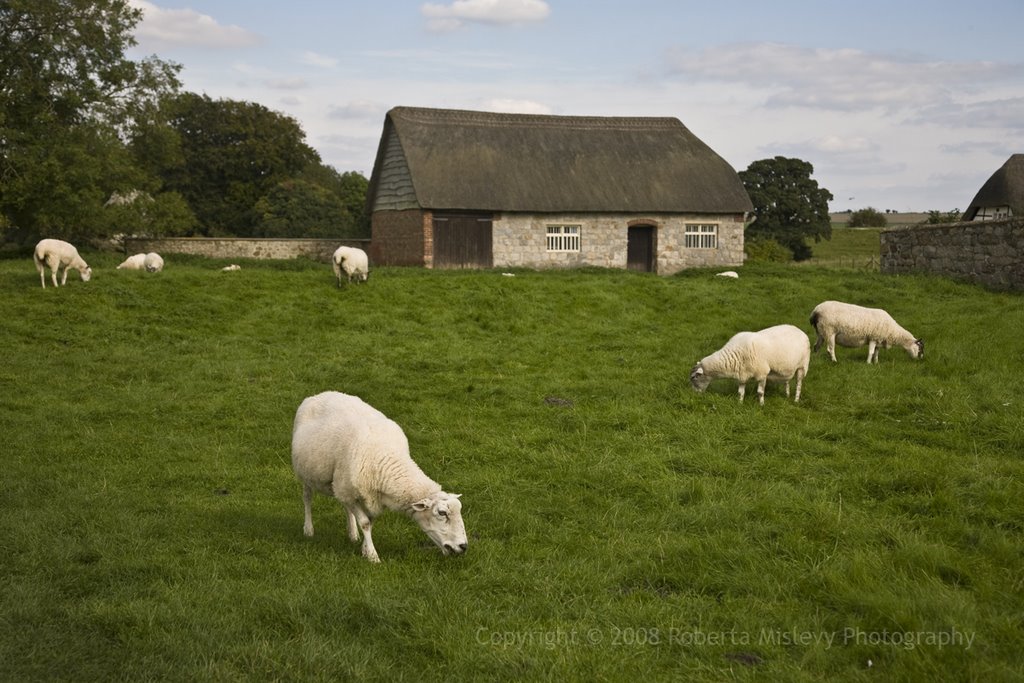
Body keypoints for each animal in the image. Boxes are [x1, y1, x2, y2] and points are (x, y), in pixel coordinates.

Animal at [286, 393, 466, 565]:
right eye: (442, 513)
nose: (464, 546)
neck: (386, 456)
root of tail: (319, 395)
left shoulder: (370, 496)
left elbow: (369, 523)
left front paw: (365, 549)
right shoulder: (352, 493)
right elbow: (365, 523)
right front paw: (373, 556)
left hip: (341, 484)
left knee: (345, 506)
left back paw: (352, 534)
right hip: (308, 475)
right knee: (307, 498)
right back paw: (308, 529)